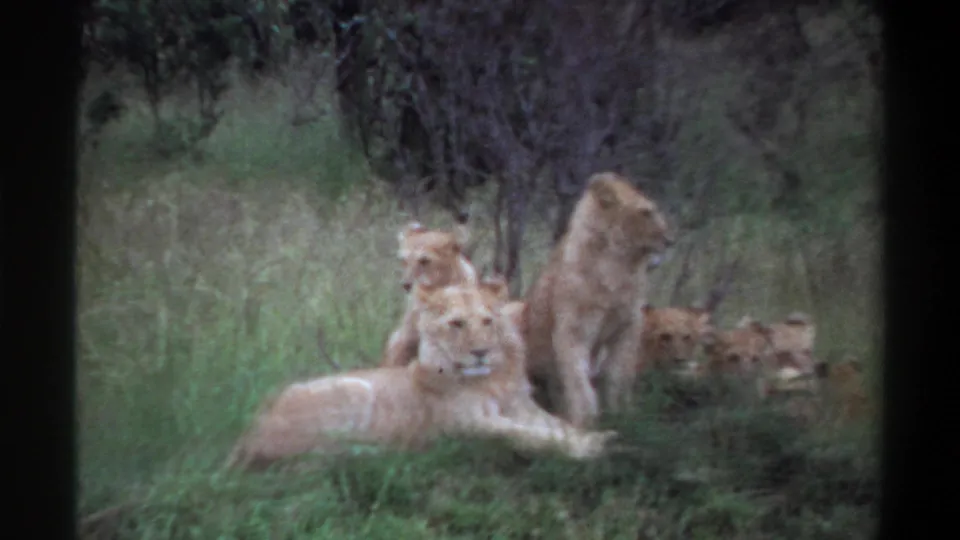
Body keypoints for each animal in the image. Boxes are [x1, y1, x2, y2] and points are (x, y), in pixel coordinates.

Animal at [225, 283, 616, 471]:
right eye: (456, 324)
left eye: (487, 321)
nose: (480, 352)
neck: (491, 379)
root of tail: (246, 437)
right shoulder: (465, 426)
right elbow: (525, 436)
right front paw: (591, 449)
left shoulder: (524, 408)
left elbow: (557, 427)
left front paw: (595, 437)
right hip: (352, 390)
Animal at [523, 172, 674, 427]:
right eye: (646, 212)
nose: (670, 239)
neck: (619, 267)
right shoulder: (573, 330)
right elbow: (577, 378)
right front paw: (584, 420)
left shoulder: (629, 326)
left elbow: (618, 374)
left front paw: (621, 413)